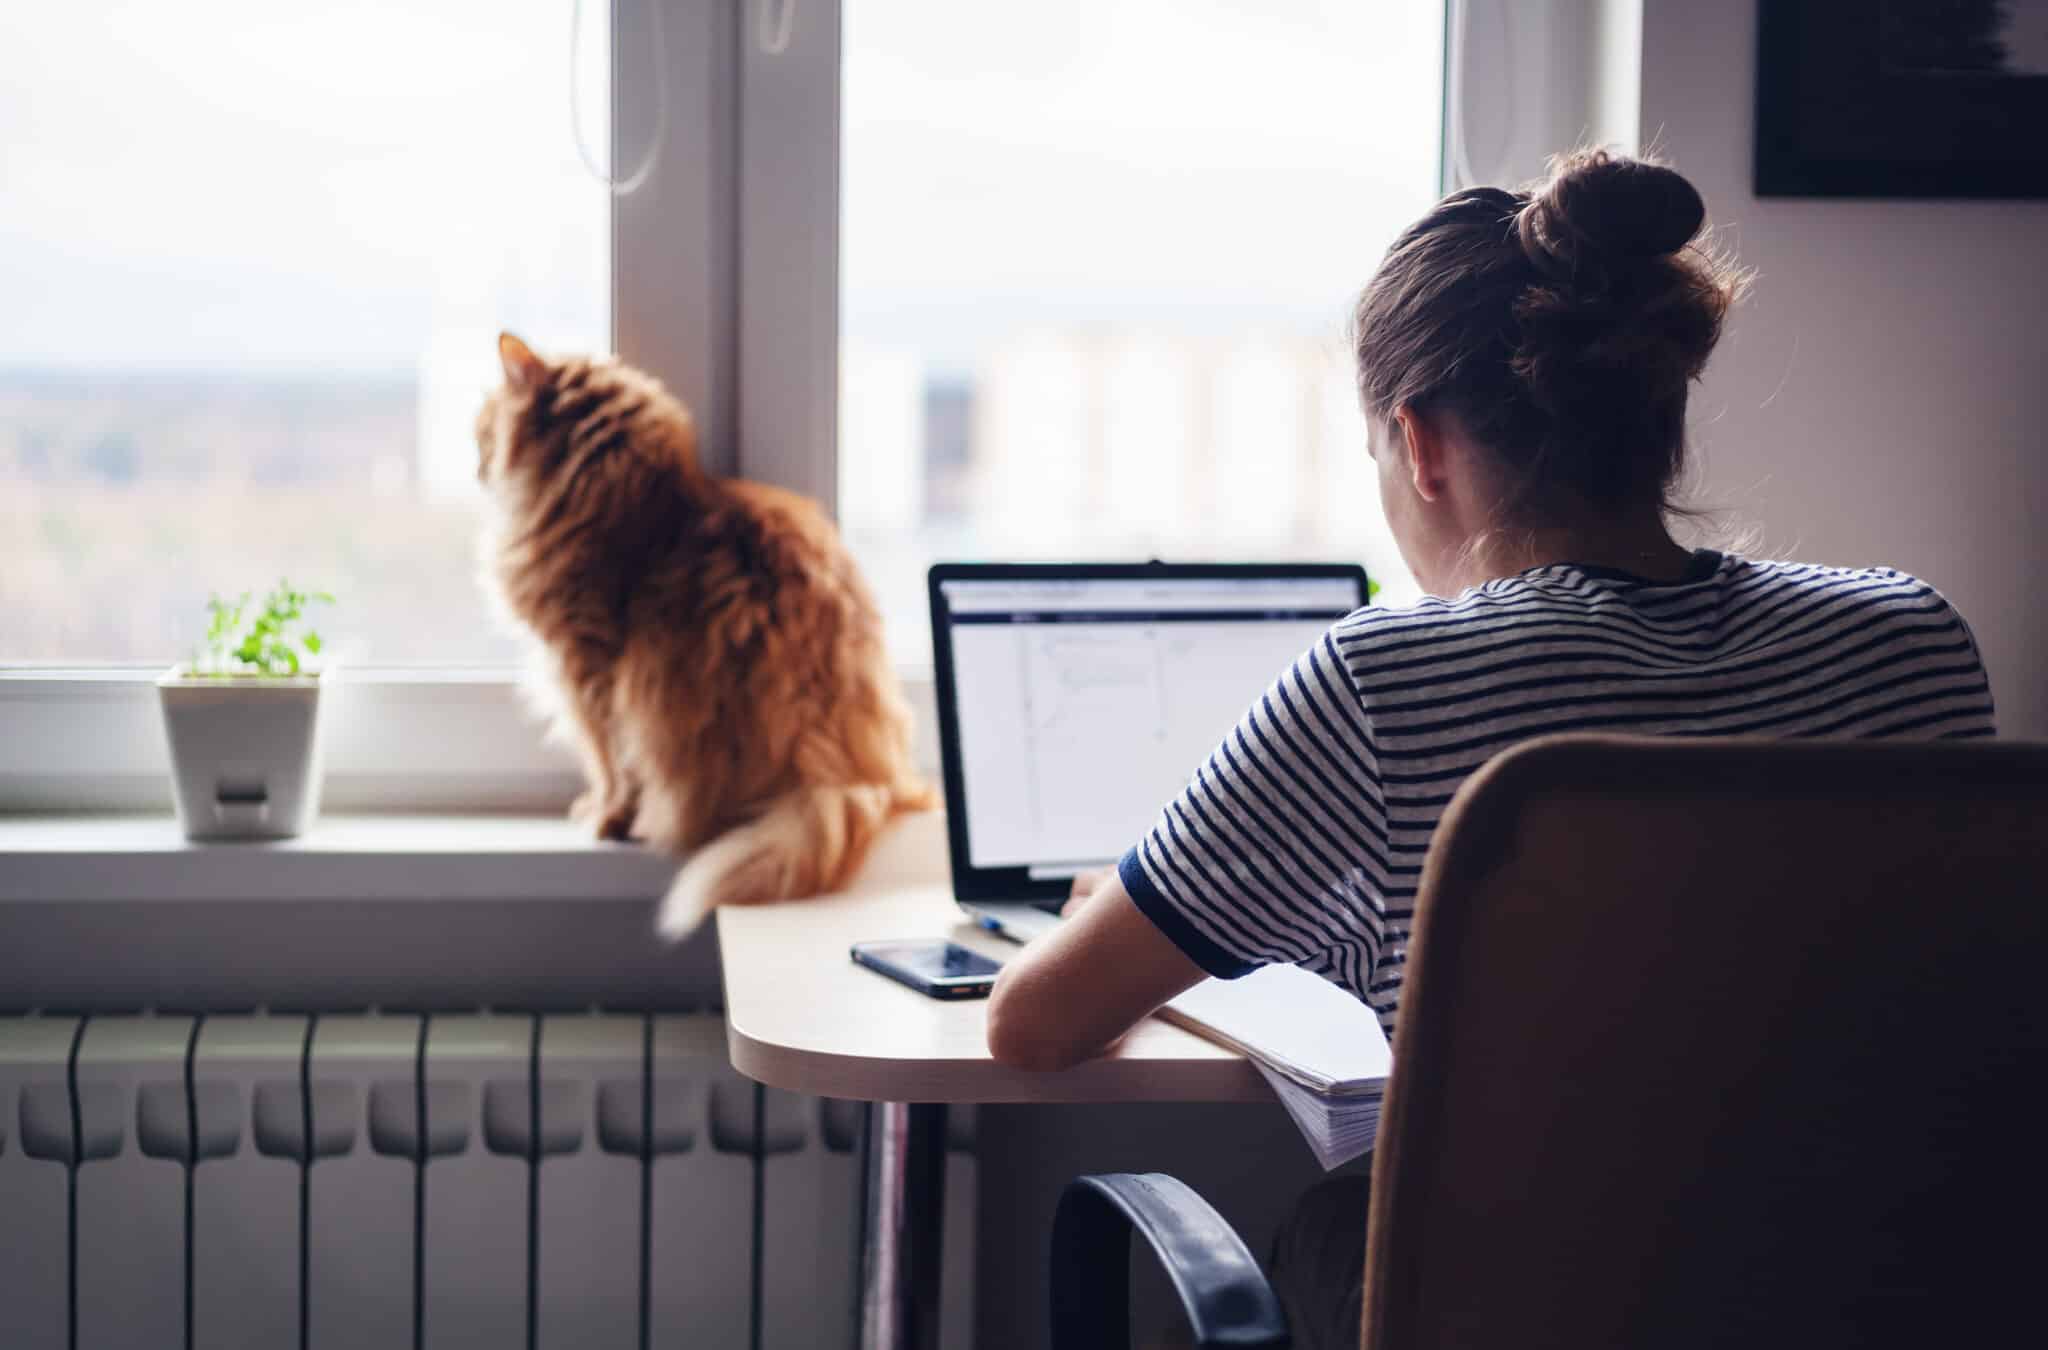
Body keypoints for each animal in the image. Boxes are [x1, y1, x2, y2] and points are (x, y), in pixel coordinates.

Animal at [475, 331, 933, 934]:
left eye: (483, 428)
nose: (477, 464)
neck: (627, 500)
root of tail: (840, 768)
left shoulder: (588, 669)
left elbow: (609, 764)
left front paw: (604, 817)